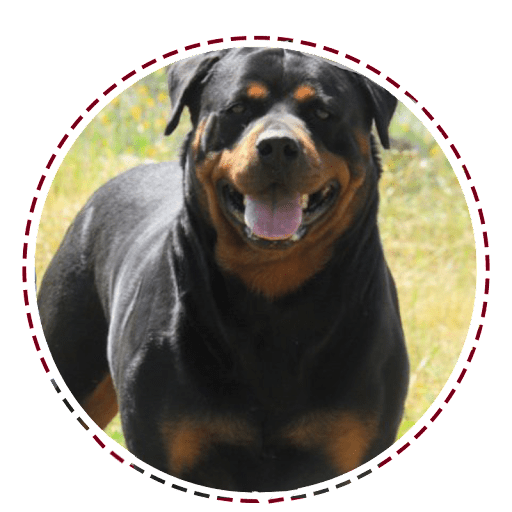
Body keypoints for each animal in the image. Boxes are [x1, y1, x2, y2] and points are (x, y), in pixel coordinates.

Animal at [38, 48, 408, 492]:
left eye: (322, 112)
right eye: (238, 109)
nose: (278, 145)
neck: (273, 305)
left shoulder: (355, 445)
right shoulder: (164, 444)